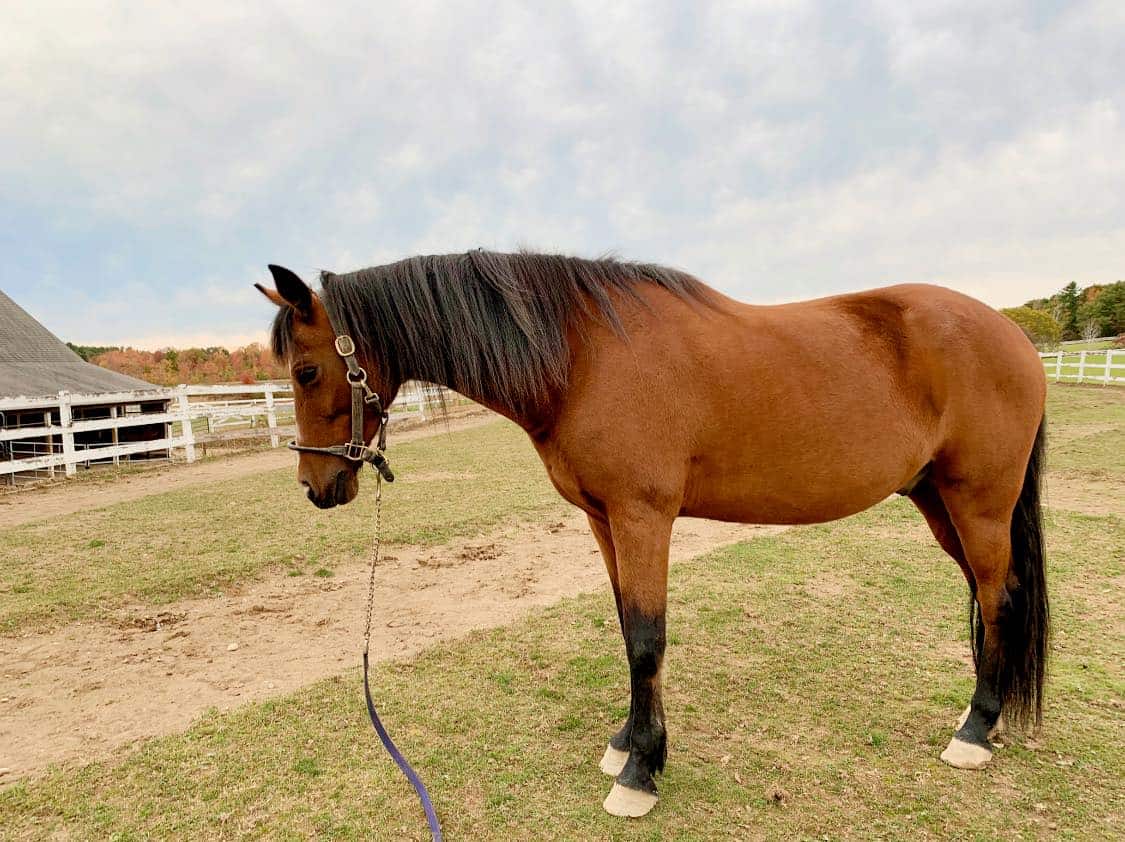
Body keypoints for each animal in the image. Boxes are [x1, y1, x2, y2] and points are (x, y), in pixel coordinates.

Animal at [256, 251, 1048, 818]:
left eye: (307, 370)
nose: (316, 487)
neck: (582, 358)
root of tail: (1013, 335)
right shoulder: (604, 520)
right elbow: (625, 629)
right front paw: (629, 744)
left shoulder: (643, 517)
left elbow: (645, 638)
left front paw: (639, 773)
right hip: (938, 502)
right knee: (997, 596)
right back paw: (987, 716)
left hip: (977, 503)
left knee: (997, 599)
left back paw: (974, 733)